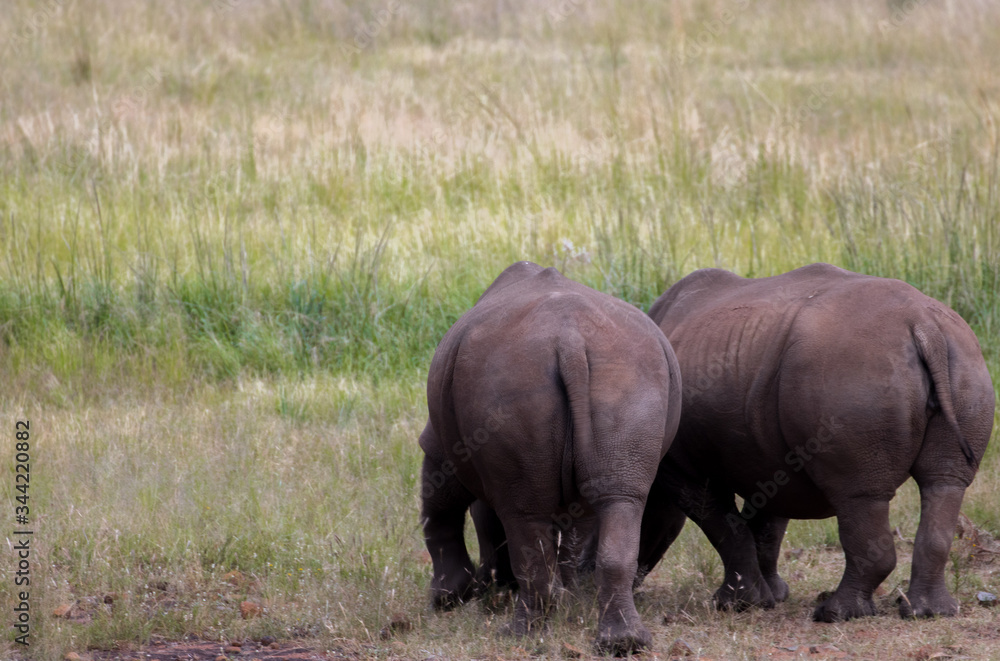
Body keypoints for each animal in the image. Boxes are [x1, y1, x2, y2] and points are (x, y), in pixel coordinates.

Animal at [420, 261, 682, 653]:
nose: (488, 584)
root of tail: (569, 340)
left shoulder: (440, 447)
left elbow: (440, 507)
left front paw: (447, 599)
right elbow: (576, 533)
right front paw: (569, 598)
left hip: (509, 379)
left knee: (522, 514)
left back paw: (518, 634)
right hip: (630, 374)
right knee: (621, 498)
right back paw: (624, 642)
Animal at [638, 263, 995, 622]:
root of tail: (924, 324)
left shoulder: (680, 467)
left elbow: (722, 524)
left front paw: (736, 604)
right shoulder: (767, 454)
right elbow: (766, 524)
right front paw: (772, 596)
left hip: (852, 367)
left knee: (858, 494)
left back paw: (834, 613)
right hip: (963, 358)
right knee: (945, 482)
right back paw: (929, 612)